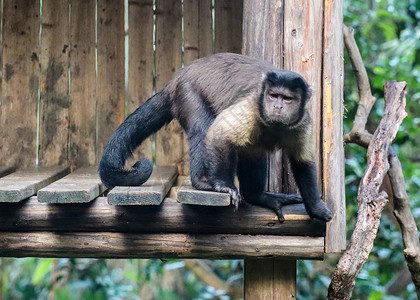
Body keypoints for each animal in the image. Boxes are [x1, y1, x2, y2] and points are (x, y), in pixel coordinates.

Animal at [98, 52, 332, 223]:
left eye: (287, 99)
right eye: (273, 96)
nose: (278, 106)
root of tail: (178, 77)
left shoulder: (303, 122)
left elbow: (303, 162)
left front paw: (316, 209)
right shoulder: (252, 106)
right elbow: (219, 133)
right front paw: (222, 185)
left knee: (253, 150)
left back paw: (258, 196)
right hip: (187, 91)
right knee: (203, 128)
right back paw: (202, 182)